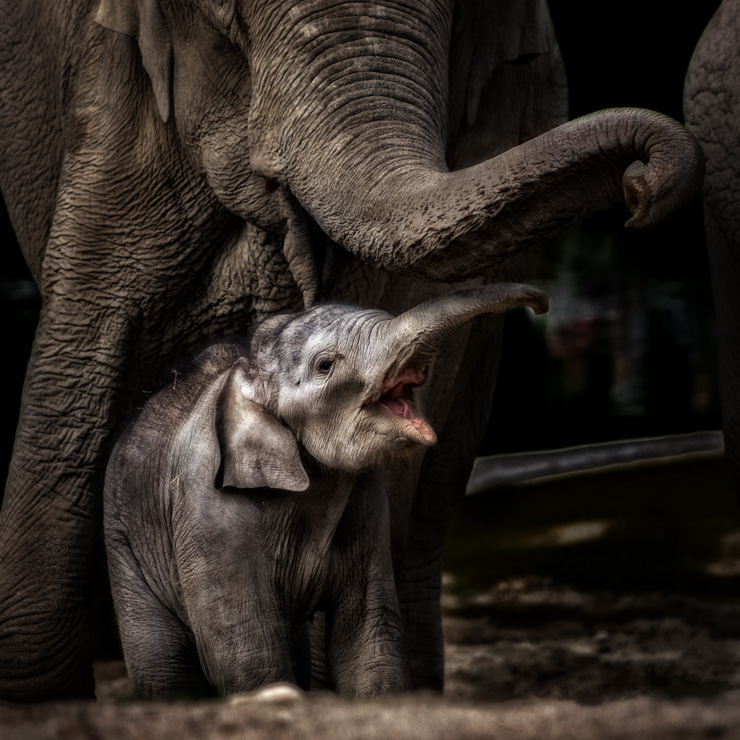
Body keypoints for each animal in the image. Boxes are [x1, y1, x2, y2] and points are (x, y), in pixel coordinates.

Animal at [104, 283, 547, 698]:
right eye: (325, 365)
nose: (540, 303)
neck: (249, 374)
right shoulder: (209, 513)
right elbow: (245, 651)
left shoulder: (367, 505)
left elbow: (367, 639)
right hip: (123, 548)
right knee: (166, 669)